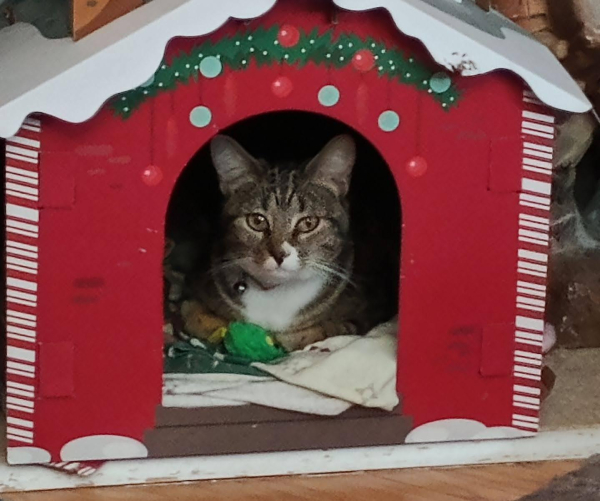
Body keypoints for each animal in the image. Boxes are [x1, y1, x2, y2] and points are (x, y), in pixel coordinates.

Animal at [185, 135, 386, 350]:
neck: (276, 293)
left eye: (308, 223)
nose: (279, 254)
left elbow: (320, 331)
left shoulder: (367, 309)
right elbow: (195, 315)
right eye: (257, 221)